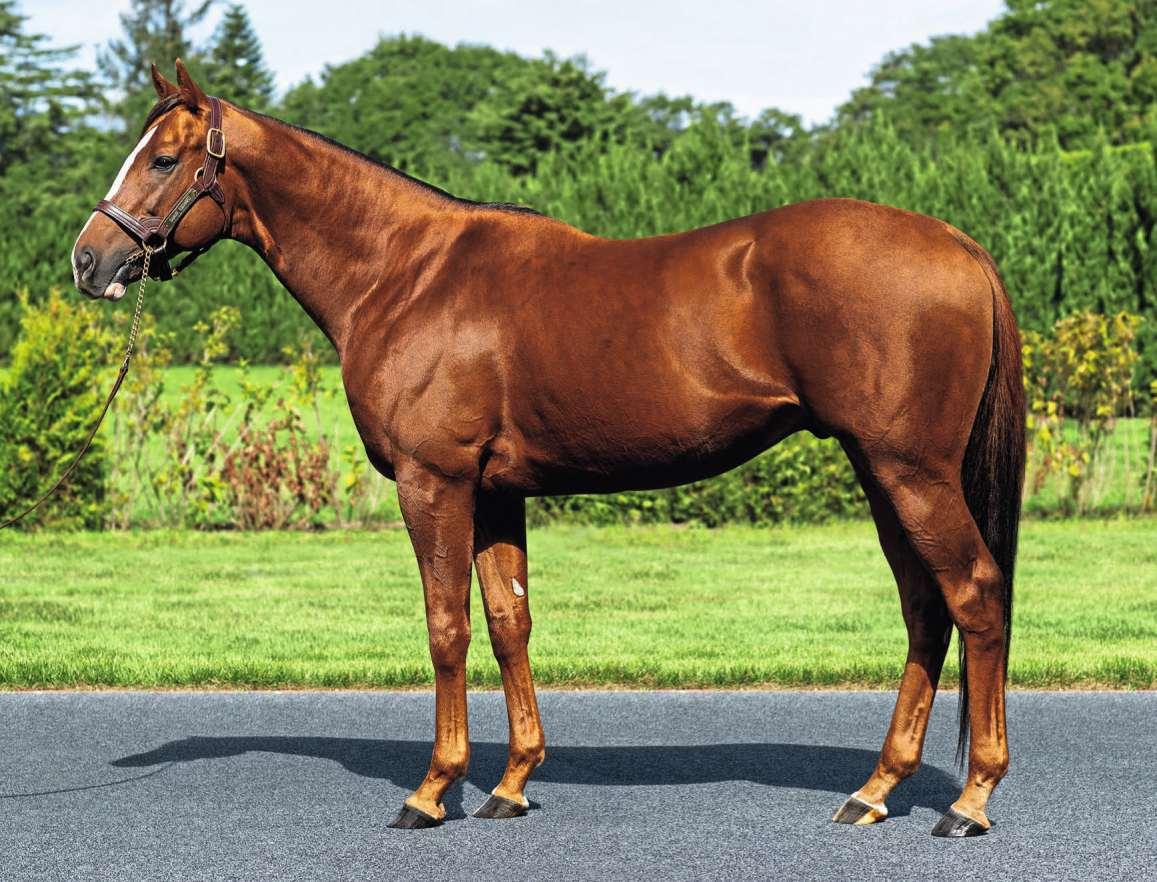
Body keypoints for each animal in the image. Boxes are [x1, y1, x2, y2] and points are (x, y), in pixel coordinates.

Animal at [72, 61, 1025, 838]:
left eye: (164, 161)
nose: (89, 261)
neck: (405, 273)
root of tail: (957, 243)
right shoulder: (496, 493)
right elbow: (509, 621)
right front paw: (511, 783)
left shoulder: (434, 484)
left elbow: (446, 627)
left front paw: (433, 791)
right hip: (880, 470)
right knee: (923, 609)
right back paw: (876, 790)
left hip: (910, 471)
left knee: (974, 596)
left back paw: (971, 799)